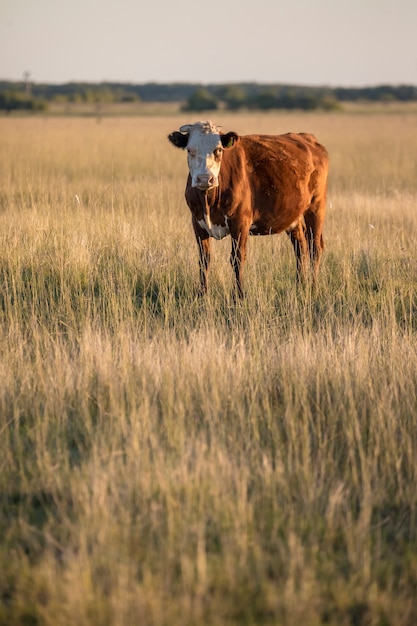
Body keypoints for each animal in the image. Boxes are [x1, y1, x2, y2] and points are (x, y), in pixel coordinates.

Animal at [167, 121, 328, 298]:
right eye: (190, 150)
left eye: (218, 150)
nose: (204, 178)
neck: (208, 201)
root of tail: (307, 137)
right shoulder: (197, 222)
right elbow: (204, 259)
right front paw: (202, 295)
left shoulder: (240, 222)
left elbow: (237, 258)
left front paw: (238, 296)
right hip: (293, 216)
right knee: (300, 248)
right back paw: (300, 286)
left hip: (316, 205)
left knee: (315, 247)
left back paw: (313, 287)